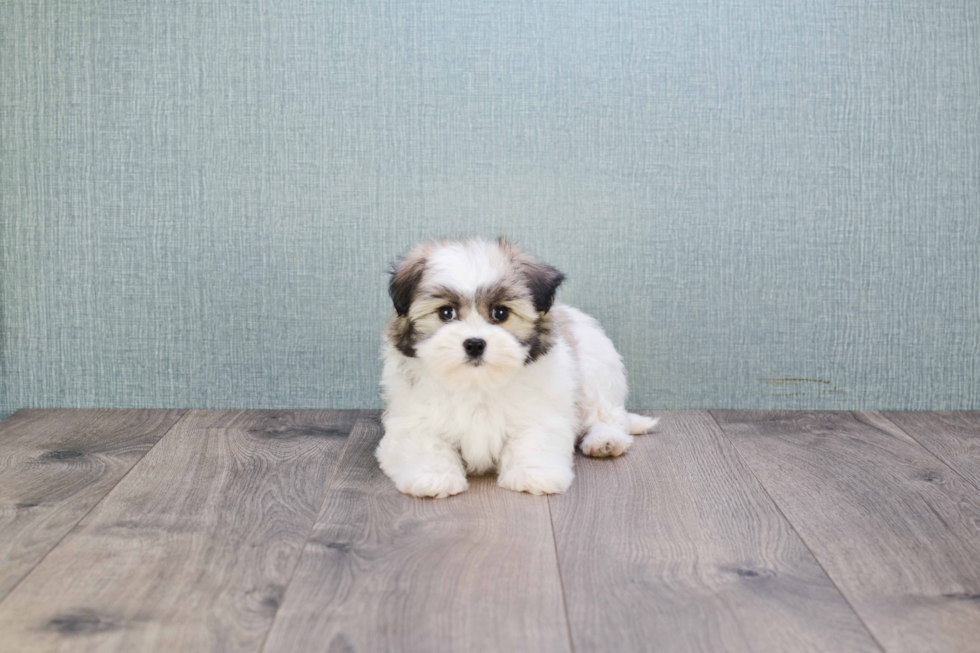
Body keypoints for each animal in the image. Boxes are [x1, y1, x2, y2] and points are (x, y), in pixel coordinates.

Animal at [376, 237, 660, 496]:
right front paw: (433, 477)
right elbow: (424, 444)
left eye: (500, 313)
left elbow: (533, 439)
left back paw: (605, 440)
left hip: (596, 370)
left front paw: (534, 475)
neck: (477, 382)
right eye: (446, 313)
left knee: (607, 415)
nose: (475, 344)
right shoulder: (413, 419)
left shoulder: (539, 413)